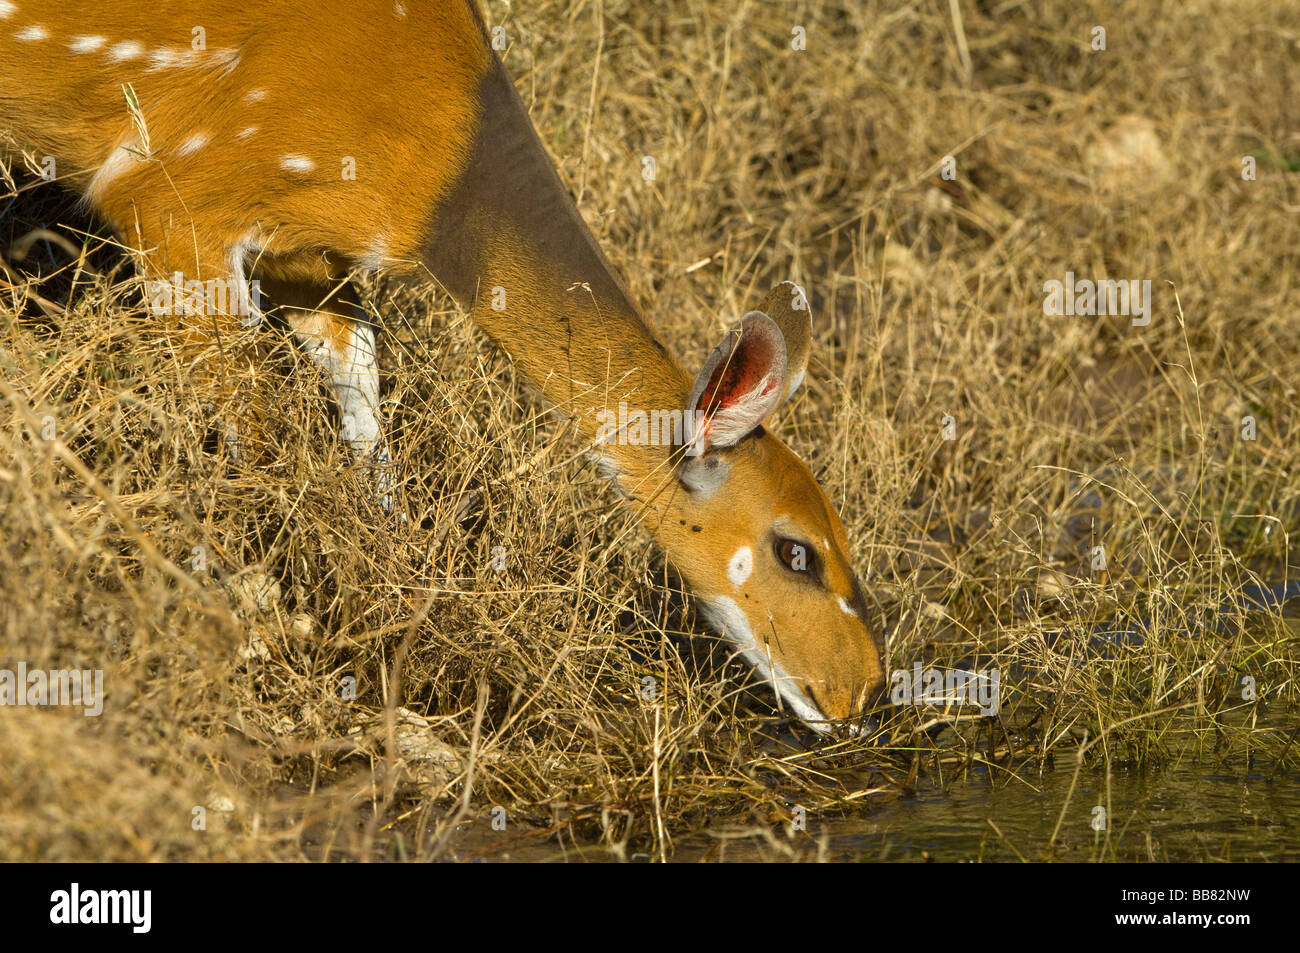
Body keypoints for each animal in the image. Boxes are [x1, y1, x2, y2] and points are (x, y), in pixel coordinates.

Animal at [0, 1, 883, 728]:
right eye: (797, 551)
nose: (863, 692)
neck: (441, 181)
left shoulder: (311, 255)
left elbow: (361, 391)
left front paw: (394, 581)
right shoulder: (169, 198)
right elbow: (238, 426)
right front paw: (258, 622)